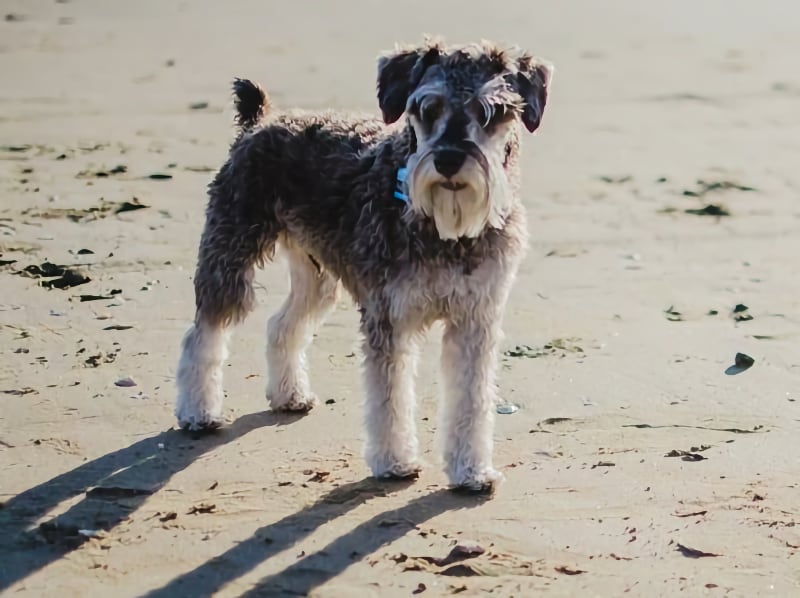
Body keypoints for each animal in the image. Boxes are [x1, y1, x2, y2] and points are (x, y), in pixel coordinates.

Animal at [174, 39, 552, 494]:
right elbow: (388, 397)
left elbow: (471, 399)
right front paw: (394, 462)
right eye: (428, 108)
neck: (444, 228)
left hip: (317, 277)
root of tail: (259, 122)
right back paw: (198, 413)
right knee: (204, 332)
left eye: (489, 112)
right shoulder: (389, 317)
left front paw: (471, 471)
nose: (447, 160)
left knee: (282, 325)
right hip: (229, 255)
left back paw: (288, 395)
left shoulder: (474, 320)